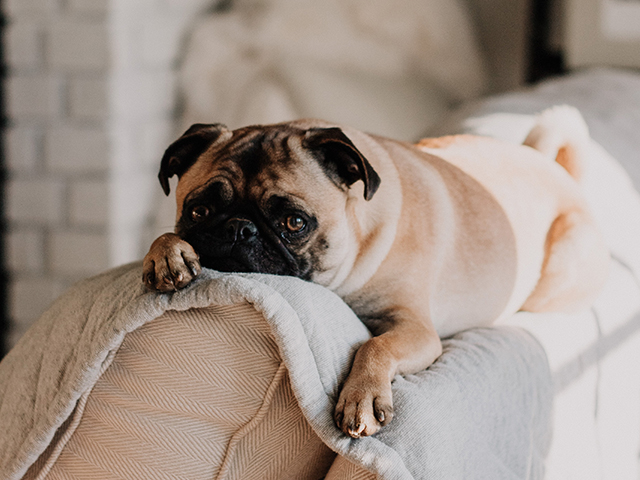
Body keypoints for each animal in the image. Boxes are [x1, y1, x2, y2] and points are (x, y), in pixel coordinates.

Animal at [142, 107, 608, 436]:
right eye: (199, 211)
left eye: (295, 222)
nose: (240, 229)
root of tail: (554, 168)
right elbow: (165, 237)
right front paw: (167, 253)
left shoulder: (416, 329)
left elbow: (374, 346)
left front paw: (362, 397)